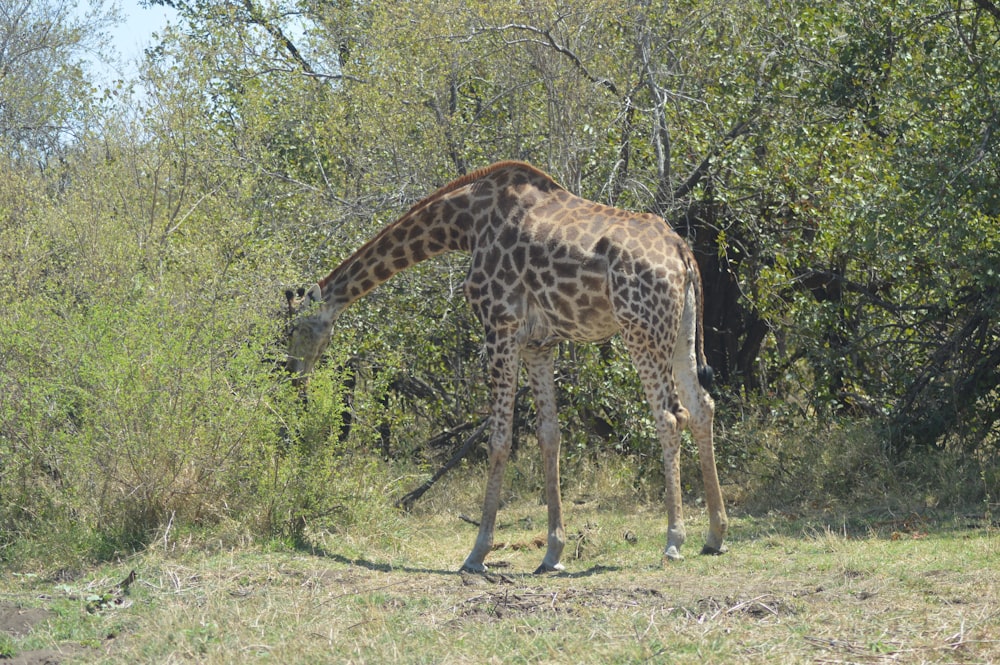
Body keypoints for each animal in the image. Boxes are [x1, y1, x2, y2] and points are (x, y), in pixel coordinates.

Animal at [286, 160, 732, 572]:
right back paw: (715, 534)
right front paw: (553, 553)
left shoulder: (499, 325)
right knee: (702, 407)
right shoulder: (539, 342)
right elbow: (549, 435)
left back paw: (674, 540)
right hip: (680, 330)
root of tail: (682, 252)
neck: (465, 224)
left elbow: (498, 438)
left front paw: (477, 553)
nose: (293, 378)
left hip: (642, 329)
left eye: (295, 329)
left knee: (670, 416)